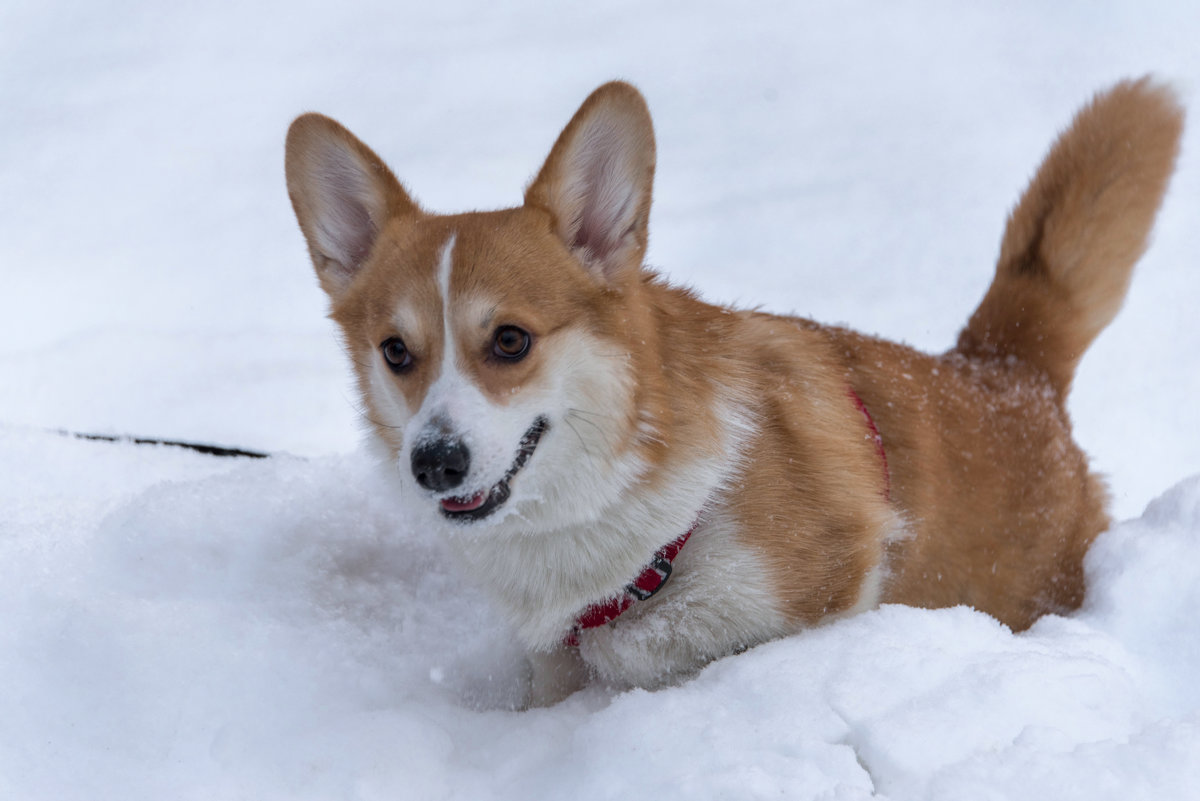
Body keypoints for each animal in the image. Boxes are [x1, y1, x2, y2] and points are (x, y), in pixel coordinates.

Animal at [285, 77, 1185, 705]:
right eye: (397, 351)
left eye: (510, 340)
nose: (434, 461)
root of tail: (1004, 370)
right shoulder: (557, 661)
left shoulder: (828, 591)